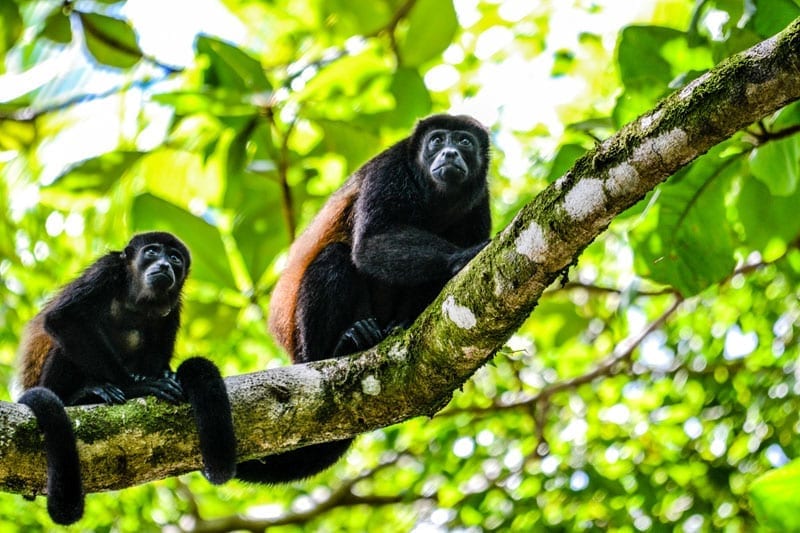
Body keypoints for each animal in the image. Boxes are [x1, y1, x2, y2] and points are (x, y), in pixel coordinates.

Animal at [16, 232, 234, 524]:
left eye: (174, 258)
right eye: (152, 252)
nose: (164, 265)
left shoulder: (174, 304)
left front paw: (160, 374)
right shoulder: (106, 270)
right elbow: (63, 318)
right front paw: (136, 386)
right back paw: (84, 394)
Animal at [234, 112, 490, 482]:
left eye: (465, 141)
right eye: (438, 140)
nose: (451, 153)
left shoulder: (479, 200)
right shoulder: (391, 170)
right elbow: (371, 242)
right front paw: (464, 255)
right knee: (334, 258)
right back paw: (343, 345)